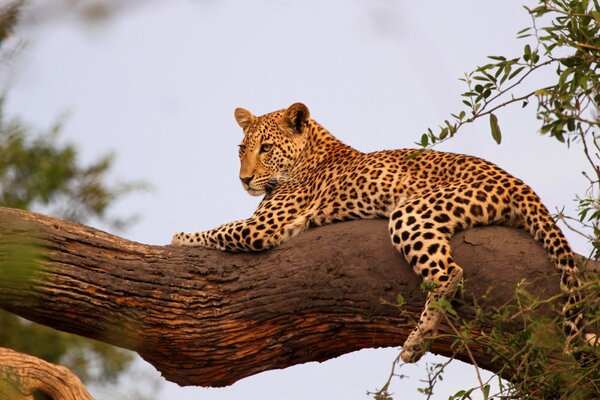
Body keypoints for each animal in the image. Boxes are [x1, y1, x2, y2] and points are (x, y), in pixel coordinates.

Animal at [171, 102, 592, 362]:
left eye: (266, 148)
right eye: (241, 149)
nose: (244, 180)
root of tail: (518, 181)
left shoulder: (264, 226)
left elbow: (216, 230)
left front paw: (176, 238)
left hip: (411, 212)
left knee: (449, 274)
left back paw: (416, 343)